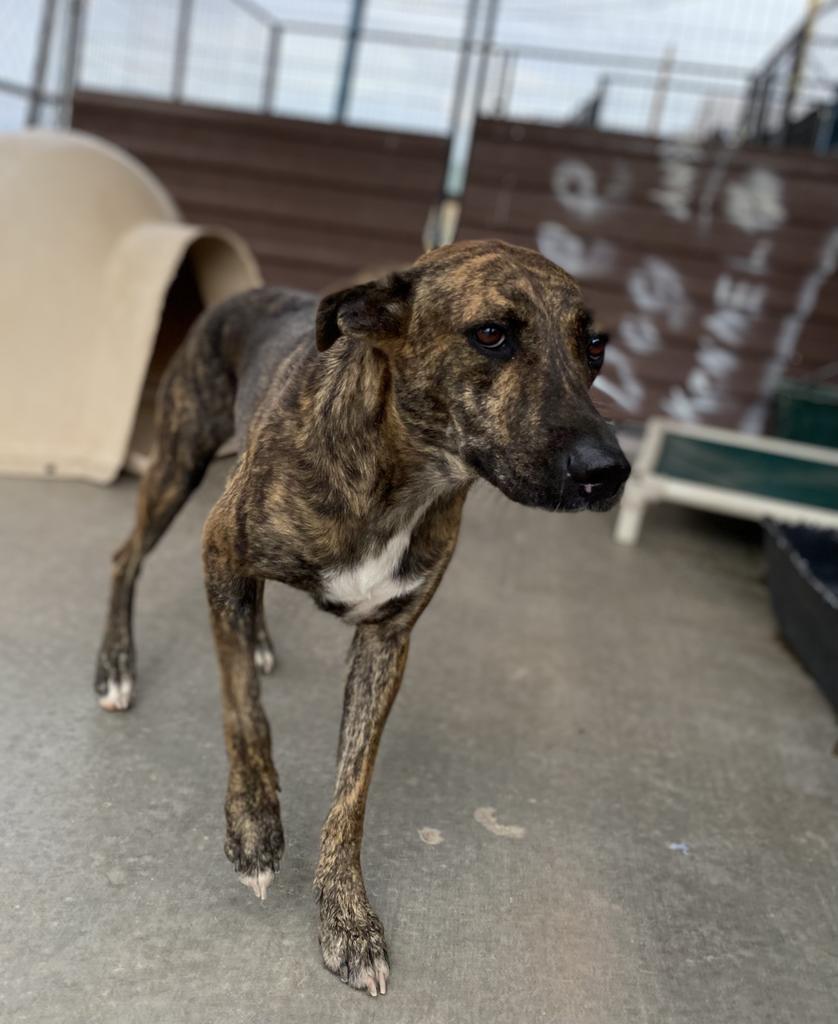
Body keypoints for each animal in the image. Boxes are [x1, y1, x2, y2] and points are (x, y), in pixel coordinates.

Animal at [94, 237, 626, 991]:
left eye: (595, 345)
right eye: (492, 334)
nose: (609, 472)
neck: (403, 473)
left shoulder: (386, 642)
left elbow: (353, 789)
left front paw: (347, 918)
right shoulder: (220, 551)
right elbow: (243, 711)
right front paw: (254, 831)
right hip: (177, 461)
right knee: (126, 557)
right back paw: (116, 665)